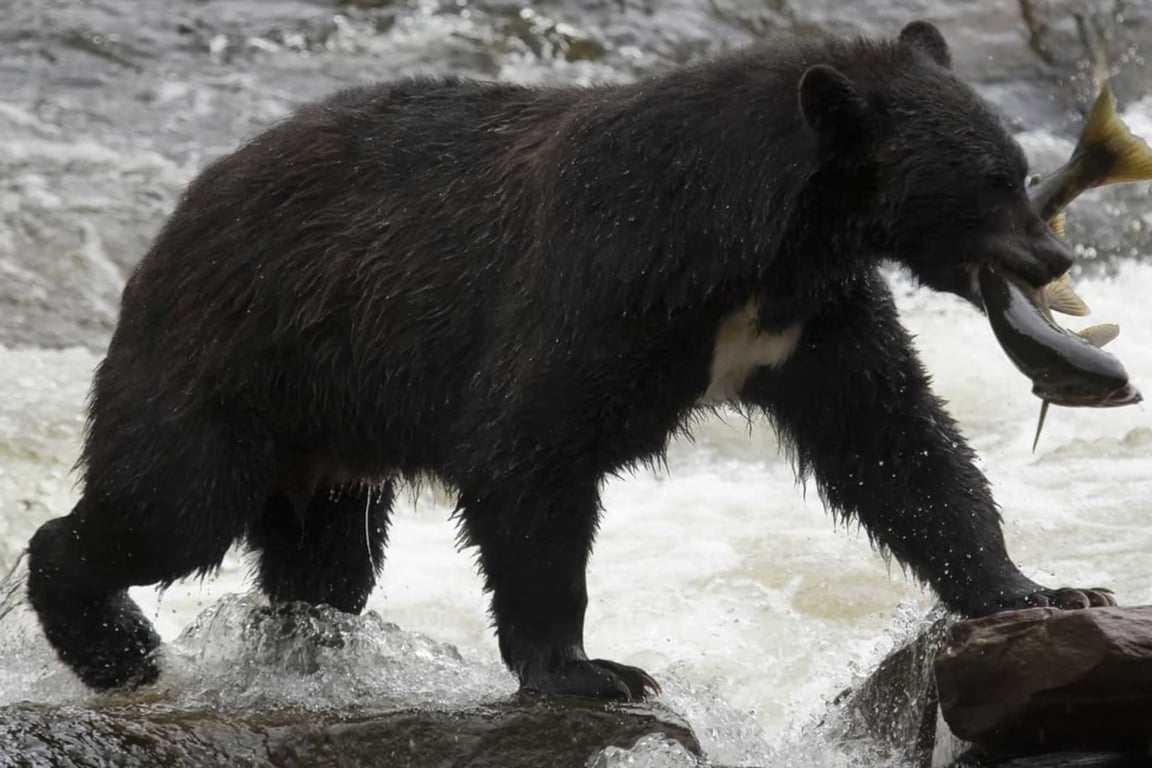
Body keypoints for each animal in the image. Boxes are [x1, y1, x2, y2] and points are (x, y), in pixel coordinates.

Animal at [26, 19, 1115, 700]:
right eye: (994, 180)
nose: (1055, 258)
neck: (762, 243)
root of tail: (172, 225)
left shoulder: (815, 322)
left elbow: (897, 446)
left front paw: (1045, 590)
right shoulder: (603, 283)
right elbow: (530, 457)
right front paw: (589, 669)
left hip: (330, 435)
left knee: (324, 565)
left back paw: (302, 648)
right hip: (232, 367)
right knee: (169, 509)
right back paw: (114, 644)